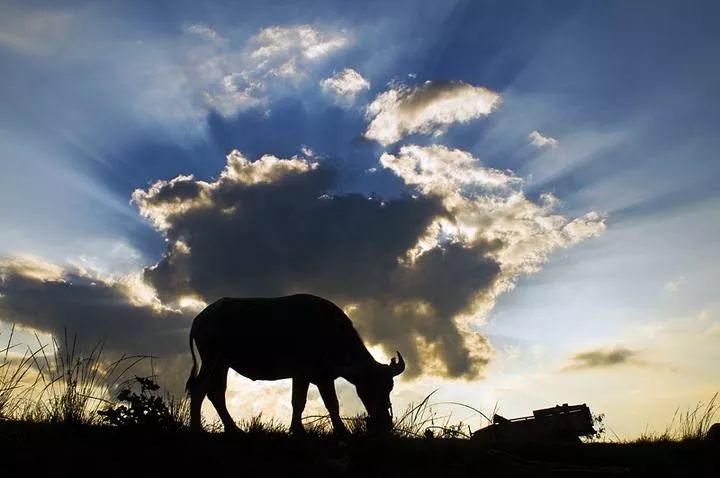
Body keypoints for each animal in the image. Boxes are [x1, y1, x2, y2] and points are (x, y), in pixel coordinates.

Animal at [186, 294, 404, 436]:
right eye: (367, 388)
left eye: (389, 388)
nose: (384, 423)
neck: (329, 333)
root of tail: (200, 318)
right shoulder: (319, 377)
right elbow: (331, 403)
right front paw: (341, 431)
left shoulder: (302, 376)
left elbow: (298, 401)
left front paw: (297, 429)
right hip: (211, 359)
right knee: (199, 389)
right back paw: (197, 428)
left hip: (222, 364)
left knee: (216, 393)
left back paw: (233, 429)